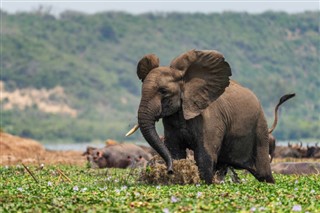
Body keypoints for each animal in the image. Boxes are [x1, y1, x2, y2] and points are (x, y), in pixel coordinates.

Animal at [133, 49, 290, 184]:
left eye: (163, 91)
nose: (169, 171)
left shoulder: (211, 118)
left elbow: (204, 156)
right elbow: (175, 151)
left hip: (259, 127)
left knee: (263, 173)